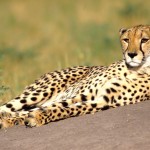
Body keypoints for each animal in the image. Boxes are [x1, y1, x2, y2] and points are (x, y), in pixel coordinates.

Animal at [0, 24, 150, 129]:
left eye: (144, 40)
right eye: (126, 40)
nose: (131, 54)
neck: (135, 69)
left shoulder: (103, 100)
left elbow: (66, 108)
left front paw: (38, 117)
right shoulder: (85, 93)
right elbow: (59, 105)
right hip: (40, 92)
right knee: (8, 107)